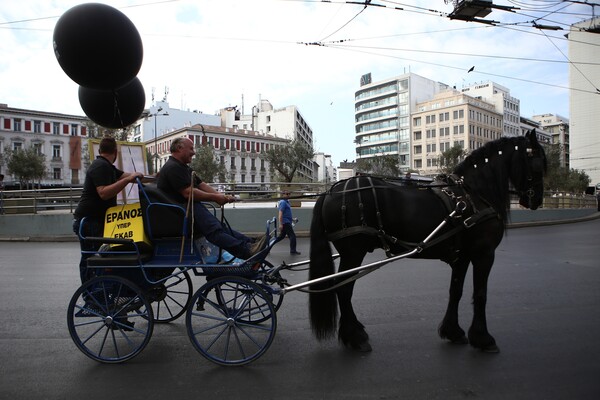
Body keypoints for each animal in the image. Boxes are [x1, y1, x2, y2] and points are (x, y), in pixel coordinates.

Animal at [310, 132, 548, 354]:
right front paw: (483, 338)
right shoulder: (484, 254)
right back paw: (355, 336)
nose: (537, 200)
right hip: (353, 253)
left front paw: (453, 331)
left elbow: (456, 291)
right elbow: (480, 294)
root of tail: (331, 192)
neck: (474, 195)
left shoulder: (462, 256)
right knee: (343, 289)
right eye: (538, 164)